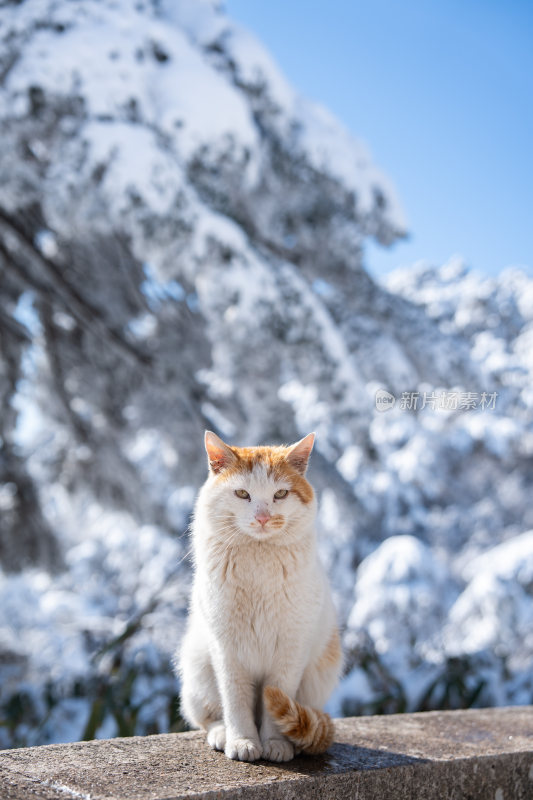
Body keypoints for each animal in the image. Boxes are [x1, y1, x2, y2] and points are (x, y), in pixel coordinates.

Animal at [176, 432, 340, 764]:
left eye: (280, 494)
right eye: (242, 493)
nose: (264, 517)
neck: (258, 561)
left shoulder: (290, 651)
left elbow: (276, 702)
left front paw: (275, 743)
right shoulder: (227, 651)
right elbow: (236, 702)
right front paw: (242, 741)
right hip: (199, 669)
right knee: (208, 717)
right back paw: (222, 733)